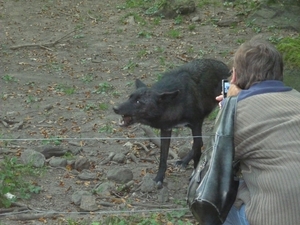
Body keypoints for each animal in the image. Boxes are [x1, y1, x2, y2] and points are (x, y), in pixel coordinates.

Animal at [113, 58, 230, 186]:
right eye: (130, 97)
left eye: (139, 102)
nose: (115, 108)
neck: (175, 102)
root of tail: (226, 66)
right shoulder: (166, 130)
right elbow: (163, 158)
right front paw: (158, 179)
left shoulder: (196, 125)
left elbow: (197, 151)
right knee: (200, 143)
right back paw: (183, 161)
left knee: (199, 144)